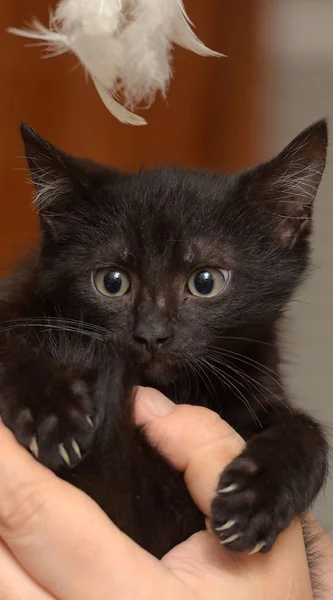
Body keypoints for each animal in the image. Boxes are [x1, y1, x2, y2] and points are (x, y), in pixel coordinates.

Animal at [0, 120, 326, 556]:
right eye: (112, 282)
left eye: (206, 282)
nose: (151, 335)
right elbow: (8, 344)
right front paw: (51, 411)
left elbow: (308, 431)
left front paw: (258, 499)